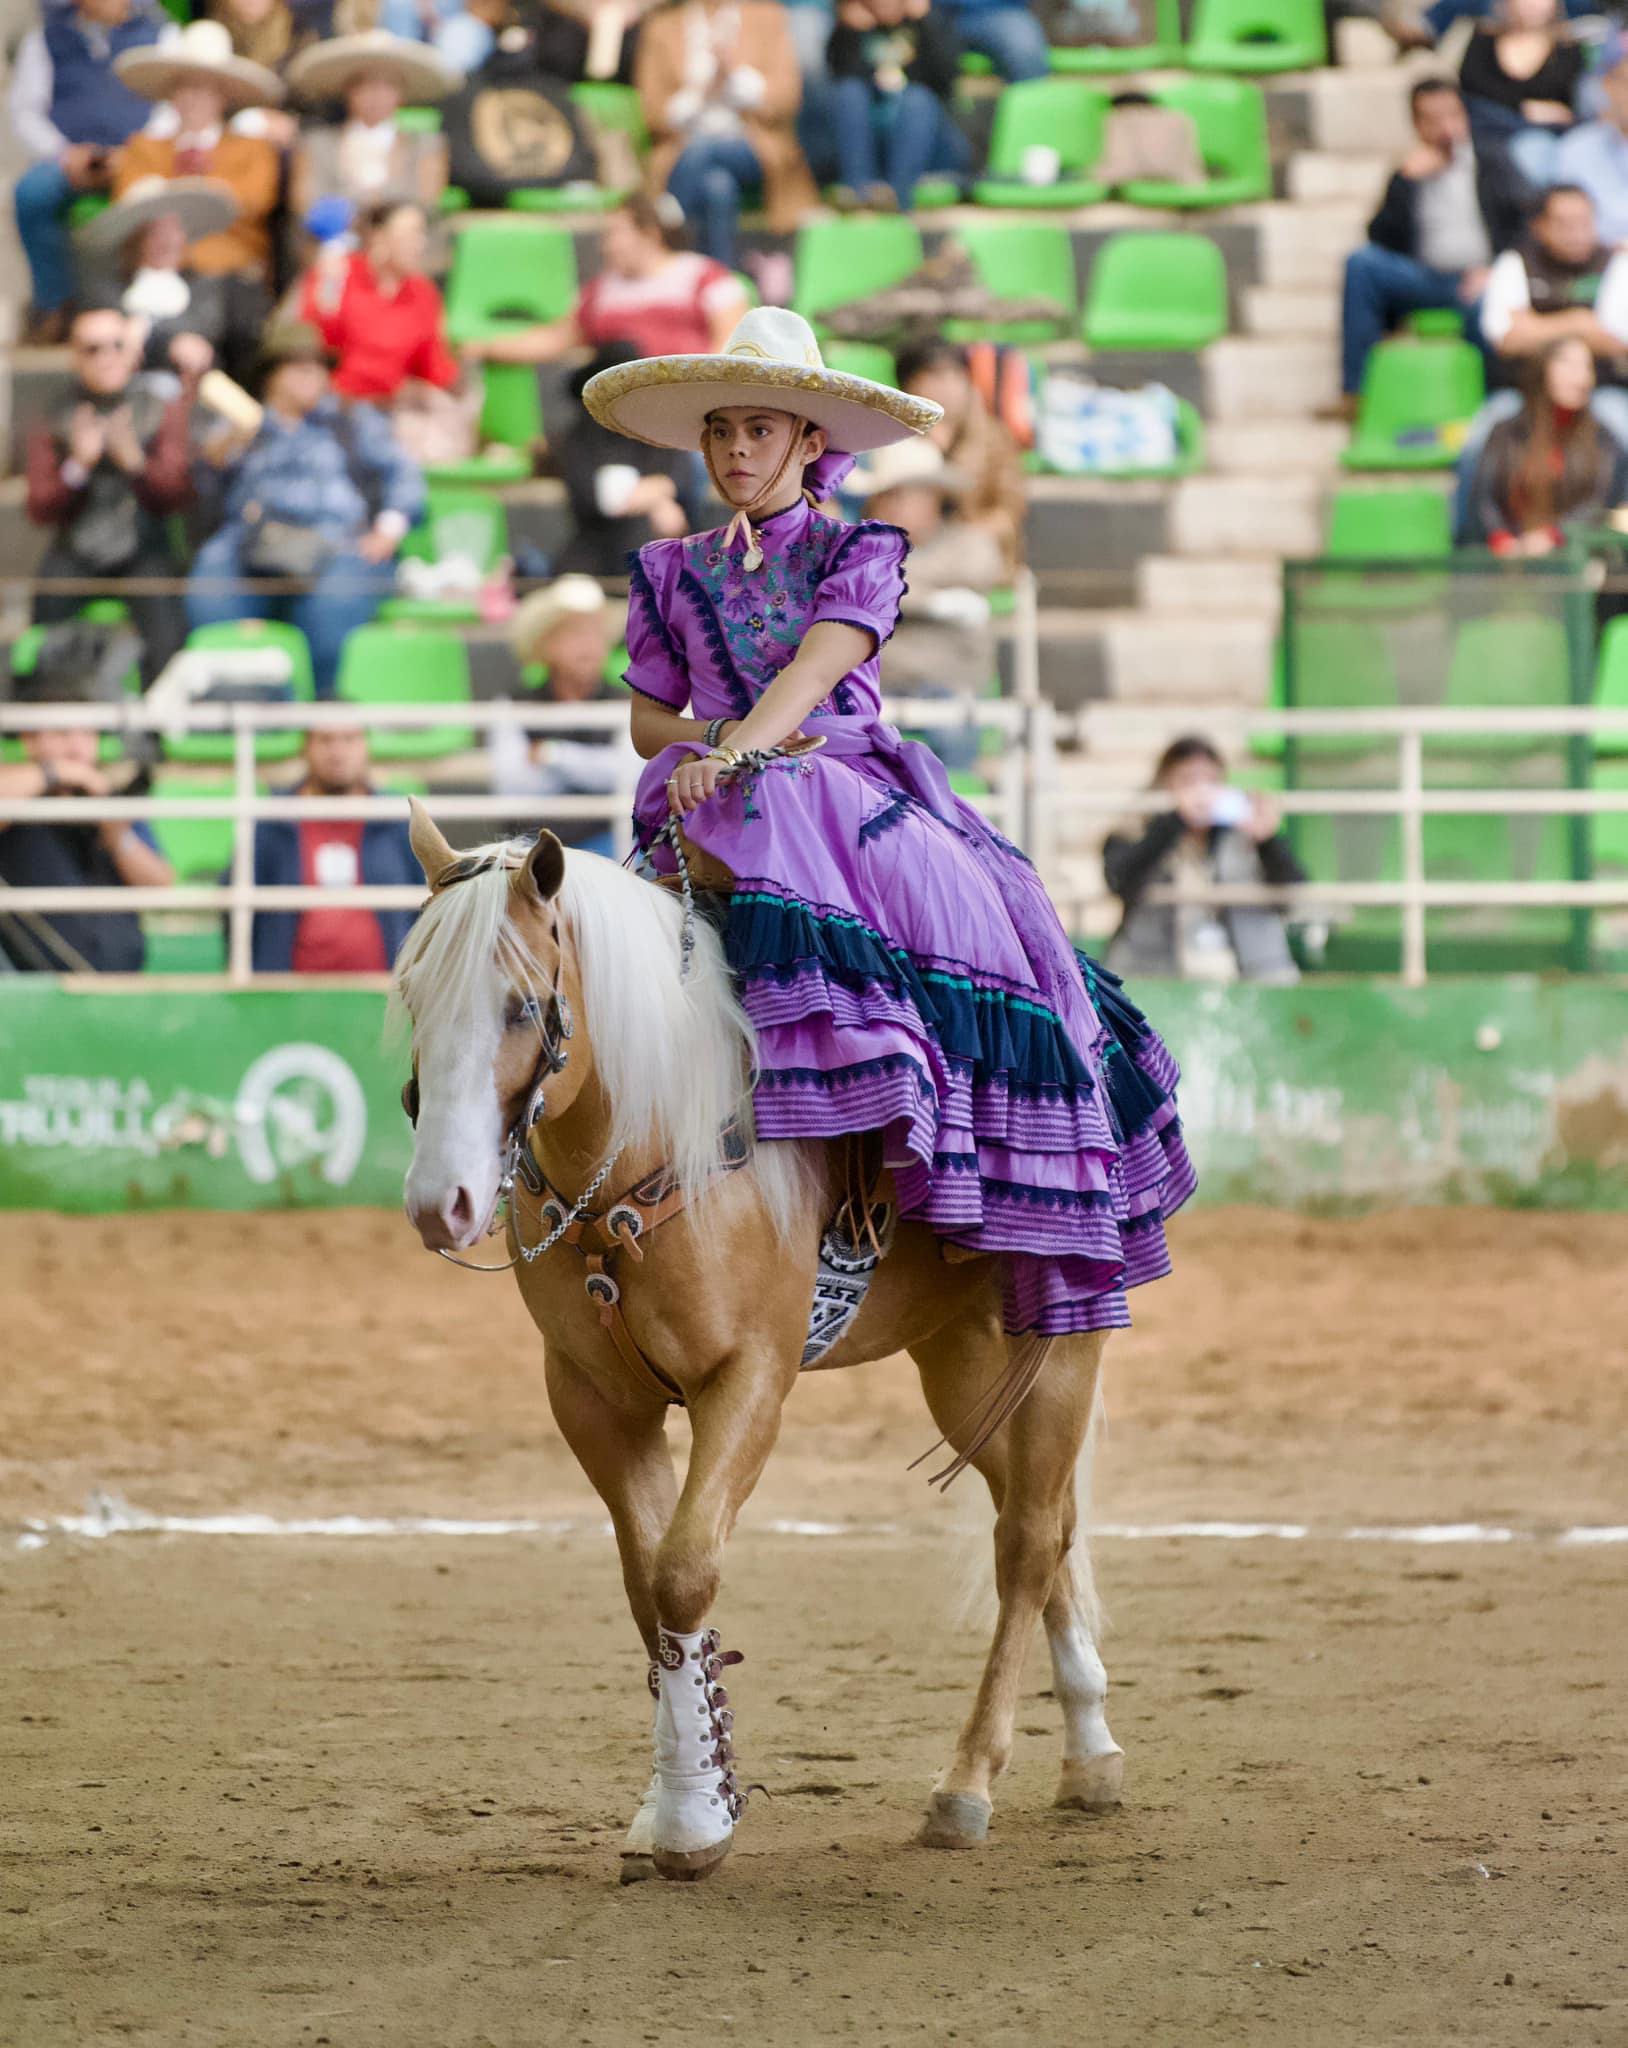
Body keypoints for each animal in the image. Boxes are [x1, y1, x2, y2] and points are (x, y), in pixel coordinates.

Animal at [393, 805, 1125, 1882]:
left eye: (525, 1008)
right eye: (413, 998)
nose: (438, 1202)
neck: (658, 1139)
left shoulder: (747, 1380)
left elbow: (685, 1569)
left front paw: (694, 1820)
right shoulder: (591, 1398)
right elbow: (645, 1586)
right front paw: (673, 1801)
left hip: (1056, 1341)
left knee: (1028, 1539)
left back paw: (967, 1783)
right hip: (964, 1371)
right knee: (1052, 1516)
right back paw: (1089, 1749)